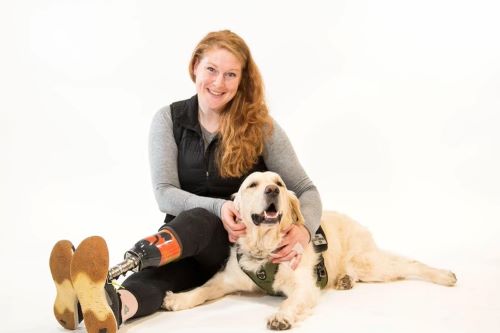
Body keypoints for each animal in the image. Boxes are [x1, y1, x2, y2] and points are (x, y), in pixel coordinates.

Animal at [161, 171, 458, 330]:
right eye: (252, 185)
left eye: (279, 184)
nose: (272, 190)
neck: (265, 248)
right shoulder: (226, 279)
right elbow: (202, 290)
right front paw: (179, 299)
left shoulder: (304, 286)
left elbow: (290, 301)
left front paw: (281, 316)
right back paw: (345, 280)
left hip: (371, 263)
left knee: (410, 264)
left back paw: (445, 275)